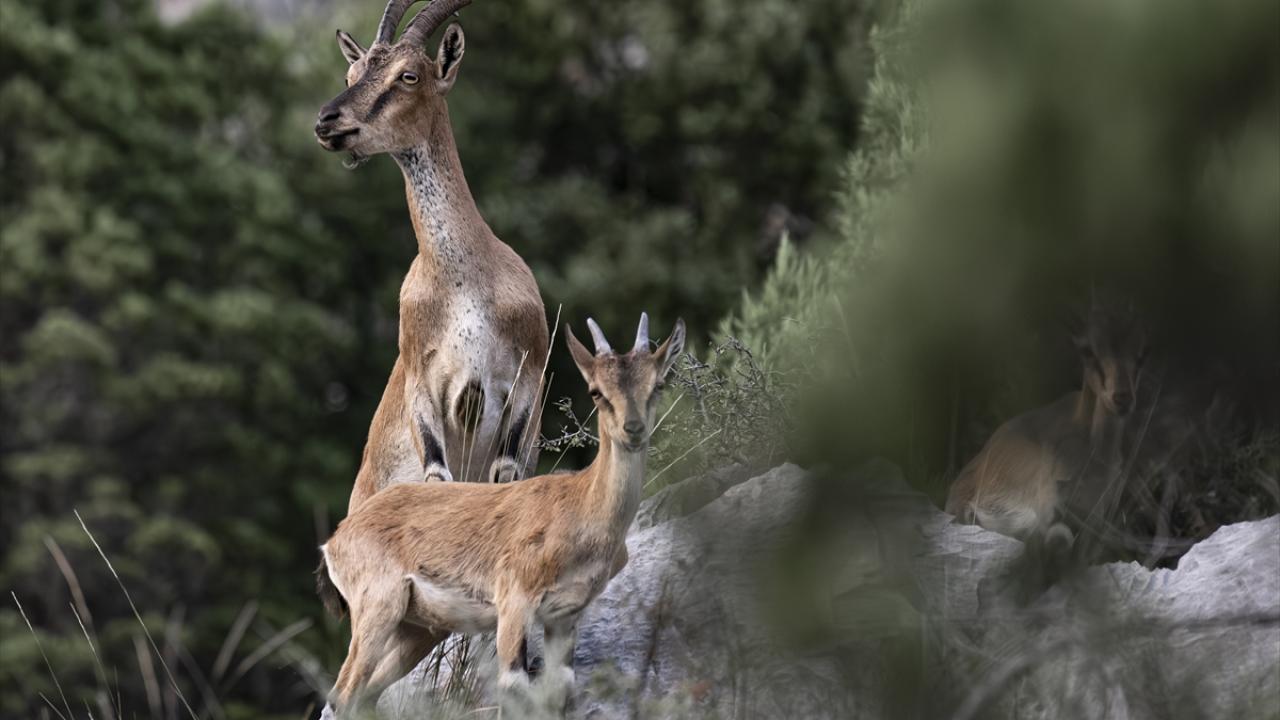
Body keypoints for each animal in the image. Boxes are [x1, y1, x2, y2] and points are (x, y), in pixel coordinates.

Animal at [315, 0, 548, 508]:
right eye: (352, 73)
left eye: (408, 75)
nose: (327, 121)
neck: (465, 282)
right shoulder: (422, 383)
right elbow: (437, 477)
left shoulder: (526, 377)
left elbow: (505, 473)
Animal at [315, 314, 685, 717]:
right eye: (596, 391)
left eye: (658, 384)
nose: (633, 430)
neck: (580, 506)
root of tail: (335, 541)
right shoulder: (513, 602)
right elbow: (512, 686)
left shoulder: (564, 616)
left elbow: (560, 689)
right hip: (377, 608)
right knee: (343, 693)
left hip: (417, 629)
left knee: (361, 695)